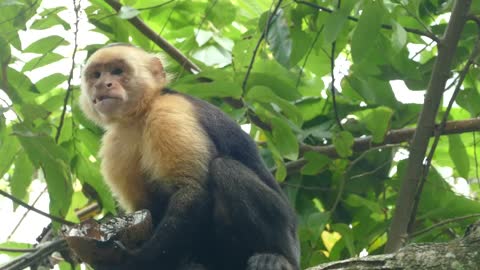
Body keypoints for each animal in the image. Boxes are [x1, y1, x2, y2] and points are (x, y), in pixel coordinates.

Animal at [80, 44, 298, 270]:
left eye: (117, 71)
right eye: (96, 75)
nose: (102, 85)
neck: (140, 113)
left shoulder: (169, 113)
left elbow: (192, 190)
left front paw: (133, 261)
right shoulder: (116, 142)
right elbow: (146, 208)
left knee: (225, 169)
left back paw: (276, 256)